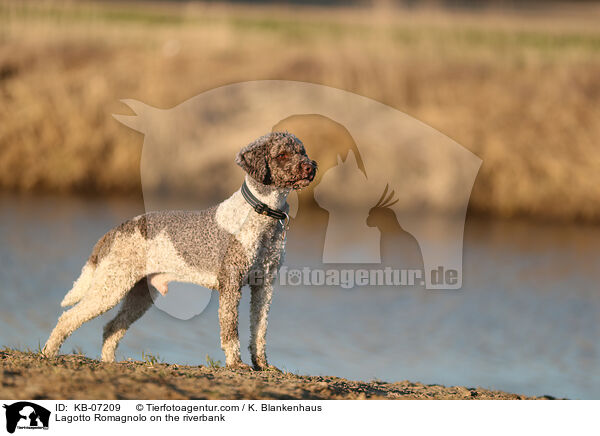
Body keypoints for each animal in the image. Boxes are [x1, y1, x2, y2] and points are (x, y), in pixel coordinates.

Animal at [42, 131, 318, 370]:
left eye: (302, 151)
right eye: (282, 154)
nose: (310, 166)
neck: (260, 213)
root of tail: (113, 232)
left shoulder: (265, 285)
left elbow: (259, 331)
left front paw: (263, 366)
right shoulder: (231, 283)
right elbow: (230, 329)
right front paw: (236, 364)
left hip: (140, 295)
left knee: (111, 328)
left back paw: (109, 363)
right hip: (111, 286)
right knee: (67, 318)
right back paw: (48, 354)